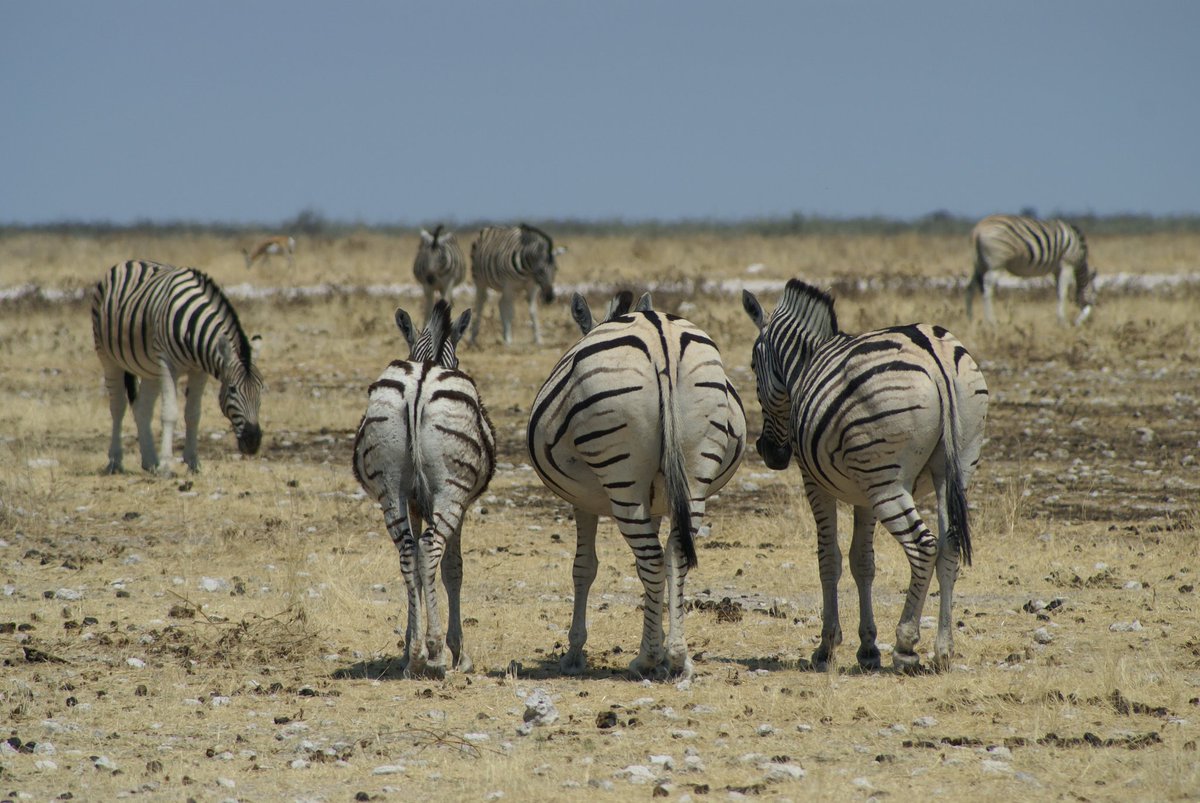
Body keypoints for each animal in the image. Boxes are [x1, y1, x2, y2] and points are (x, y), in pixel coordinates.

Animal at [90, 256, 264, 472]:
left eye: (261, 390)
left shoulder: (199, 371)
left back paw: (150, 461)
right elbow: (170, 413)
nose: (253, 441)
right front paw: (166, 465)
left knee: (141, 408)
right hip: (107, 356)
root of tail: (128, 261)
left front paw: (193, 462)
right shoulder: (167, 366)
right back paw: (115, 461)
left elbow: (193, 414)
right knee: (118, 406)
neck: (193, 329)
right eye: (232, 389)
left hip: (149, 369)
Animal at [350, 300, 496, 676]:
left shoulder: (414, 503)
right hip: (451, 490)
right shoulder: (459, 506)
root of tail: (419, 384)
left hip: (390, 489)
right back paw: (434, 650)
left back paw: (415, 654)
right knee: (430, 549)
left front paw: (406, 648)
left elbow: (415, 567)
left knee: (406, 551)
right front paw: (458, 651)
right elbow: (453, 569)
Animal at [530, 291, 744, 681]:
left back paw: (646, 659)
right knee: (674, 556)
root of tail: (661, 338)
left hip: (621, 476)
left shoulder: (582, 502)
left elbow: (584, 567)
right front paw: (660, 646)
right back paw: (678, 657)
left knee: (652, 559)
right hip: (696, 469)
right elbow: (648, 572)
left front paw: (574, 653)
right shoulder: (657, 499)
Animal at [744, 277, 988, 672]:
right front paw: (868, 647)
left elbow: (828, 557)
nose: (770, 453)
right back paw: (943, 649)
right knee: (949, 543)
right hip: (954, 465)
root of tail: (934, 356)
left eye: (753, 365)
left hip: (887, 482)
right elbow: (863, 562)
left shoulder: (817, 483)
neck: (806, 364)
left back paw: (905, 644)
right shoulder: (864, 494)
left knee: (924, 546)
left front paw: (826, 647)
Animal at [964, 216, 1099, 326]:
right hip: (996, 264)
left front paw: (1060, 320)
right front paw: (1063, 322)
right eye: (1094, 294)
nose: (1082, 322)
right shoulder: (1067, 264)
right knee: (988, 286)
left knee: (970, 287)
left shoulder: (1056, 270)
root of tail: (977, 230)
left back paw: (970, 319)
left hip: (980, 264)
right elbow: (1063, 293)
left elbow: (1058, 292)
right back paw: (991, 322)